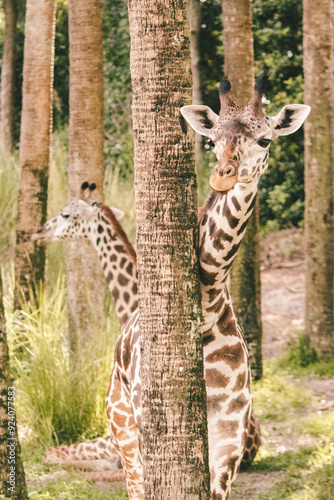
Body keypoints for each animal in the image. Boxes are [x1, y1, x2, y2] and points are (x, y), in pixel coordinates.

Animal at [103, 76, 310, 498]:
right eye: (212, 140)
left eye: (265, 139)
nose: (222, 175)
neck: (208, 302)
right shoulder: (152, 428)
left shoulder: (230, 437)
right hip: (124, 429)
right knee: (133, 484)